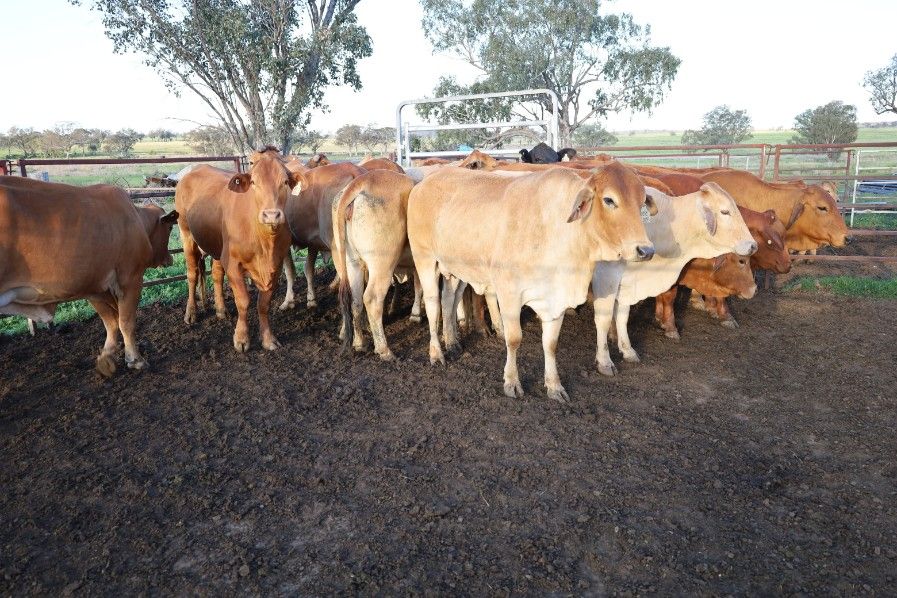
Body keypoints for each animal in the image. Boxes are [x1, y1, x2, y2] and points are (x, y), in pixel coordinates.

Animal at [0, 176, 178, 376]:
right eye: (170, 228)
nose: (170, 258)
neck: (136, 218)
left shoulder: (94, 287)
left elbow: (111, 321)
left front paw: (107, 357)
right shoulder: (131, 278)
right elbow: (125, 321)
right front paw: (135, 360)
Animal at [175, 151, 306, 351]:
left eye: (285, 182)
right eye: (254, 182)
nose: (271, 215)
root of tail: (194, 169)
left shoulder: (275, 266)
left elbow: (264, 304)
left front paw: (268, 339)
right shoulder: (233, 264)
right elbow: (243, 301)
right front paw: (241, 339)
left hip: (218, 247)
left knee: (216, 274)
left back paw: (221, 310)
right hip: (186, 234)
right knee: (192, 274)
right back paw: (191, 313)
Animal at [332, 170, 421, 360]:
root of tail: (362, 181)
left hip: (353, 262)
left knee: (356, 301)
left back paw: (359, 343)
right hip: (382, 263)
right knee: (372, 298)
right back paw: (384, 350)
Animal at [407, 162, 656, 402]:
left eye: (641, 201)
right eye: (609, 200)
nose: (646, 250)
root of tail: (424, 184)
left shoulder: (556, 298)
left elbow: (551, 344)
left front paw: (554, 386)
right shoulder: (509, 293)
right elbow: (514, 339)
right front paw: (511, 382)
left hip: (456, 270)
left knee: (448, 300)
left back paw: (452, 344)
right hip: (424, 259)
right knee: (433, 305)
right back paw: (437, 353)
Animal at [592, 183, 757, 376]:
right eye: (725, 212)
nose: (753, 245)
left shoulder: (628, 282)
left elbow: (622, 317)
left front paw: (627, 350)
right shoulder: (605, 277)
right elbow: (603, 319)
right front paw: (604, 361)